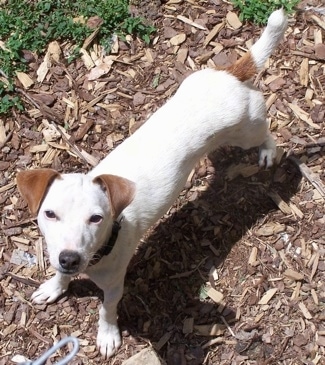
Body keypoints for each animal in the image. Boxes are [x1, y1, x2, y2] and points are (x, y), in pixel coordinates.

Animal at [17, 9, 286, 358]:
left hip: (246, 131)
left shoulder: (114, 285)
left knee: (266, 131)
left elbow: (106, 310)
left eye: (96, 218)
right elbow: (59, 277)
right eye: (49, 214)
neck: (105, 244)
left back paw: (267, 152)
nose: (69, 259)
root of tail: (230, 75)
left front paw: (107, 335)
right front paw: (54, 287)